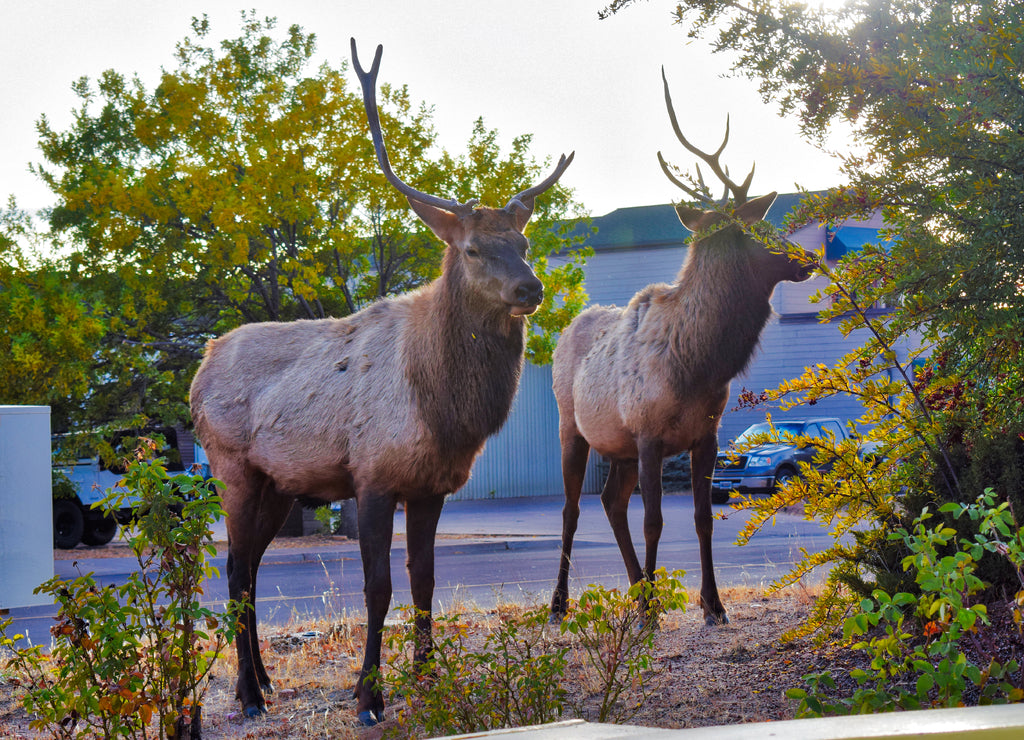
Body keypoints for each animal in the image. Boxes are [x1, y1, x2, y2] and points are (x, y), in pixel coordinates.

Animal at [190, 39, 577, 724]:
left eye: (525, 242)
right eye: (473, 249)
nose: (529, 289)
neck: (442, 409)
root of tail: (198, 371)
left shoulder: (431, 486)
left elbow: (424, 579)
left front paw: (428, 675)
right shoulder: (371, 476)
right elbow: (378, 587)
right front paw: (369, 695)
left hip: (279, 483)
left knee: (251, 567)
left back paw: (264, 682)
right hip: (231, 465)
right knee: (234, 571)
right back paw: (249, 696)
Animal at [548, 68, 811, 626]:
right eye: (754, 228)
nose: (808, 258)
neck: (700, 365)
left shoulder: (705, 434)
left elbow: (702, 517)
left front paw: (712, 605)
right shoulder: (648, 432)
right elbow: (655, 520)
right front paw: (657, 612)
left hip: (618, 445)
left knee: (610, 502)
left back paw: (636, 589)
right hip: (571, 426)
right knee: (573, 508)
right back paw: (561, 604)